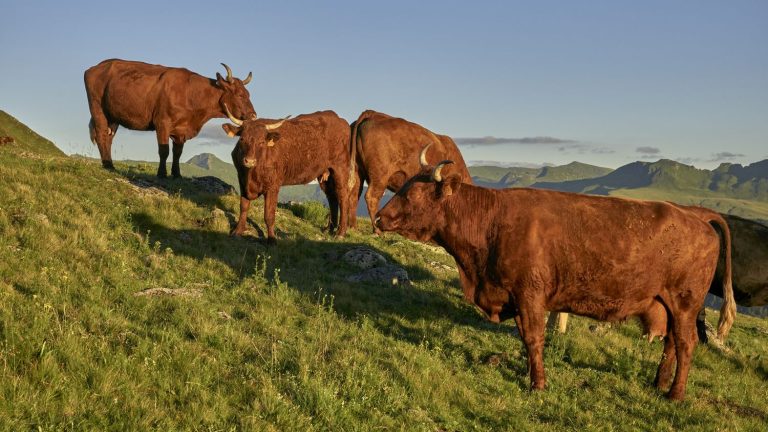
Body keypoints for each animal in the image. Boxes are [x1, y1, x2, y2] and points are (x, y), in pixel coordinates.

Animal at [85, 58, 256, 177]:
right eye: (240, 95)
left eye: (248, 94)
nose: (254, 115)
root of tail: (97, 66)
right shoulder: (162, 123)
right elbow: (164, 150)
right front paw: (162, 174)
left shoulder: (181, 130)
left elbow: (177, 153)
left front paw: (176, 174)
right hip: (97, 108)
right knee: (101, 135)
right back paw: (108, 165)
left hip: (113, 116)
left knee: (108, 137)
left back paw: (109, 163)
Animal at [222, 111, 352, 243]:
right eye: (242, 139)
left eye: (262, 142)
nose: (249, 161)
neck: (251, 174)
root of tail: (338, 118)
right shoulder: (242, 181)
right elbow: (243, 207)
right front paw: (237, 231)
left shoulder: (273, 186)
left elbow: (269, 214)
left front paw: (271, 239)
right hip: (325, 175)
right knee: (332, 198)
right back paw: (330, 229)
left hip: (340, 168)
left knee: (343, 197)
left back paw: (340, 233)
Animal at [376, 147, 736, 400]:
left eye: (413, 193)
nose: (378, 218)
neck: (491, 223)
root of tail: (695, 215)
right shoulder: (516, 297)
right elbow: (526, 338)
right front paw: (529, 375)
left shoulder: (529, 294)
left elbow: (534, 338)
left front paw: (538, 384)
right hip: (669, 304)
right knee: (672, 343)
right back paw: (658, 383)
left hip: (685, 301)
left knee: (686, 343)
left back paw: (675, 394)